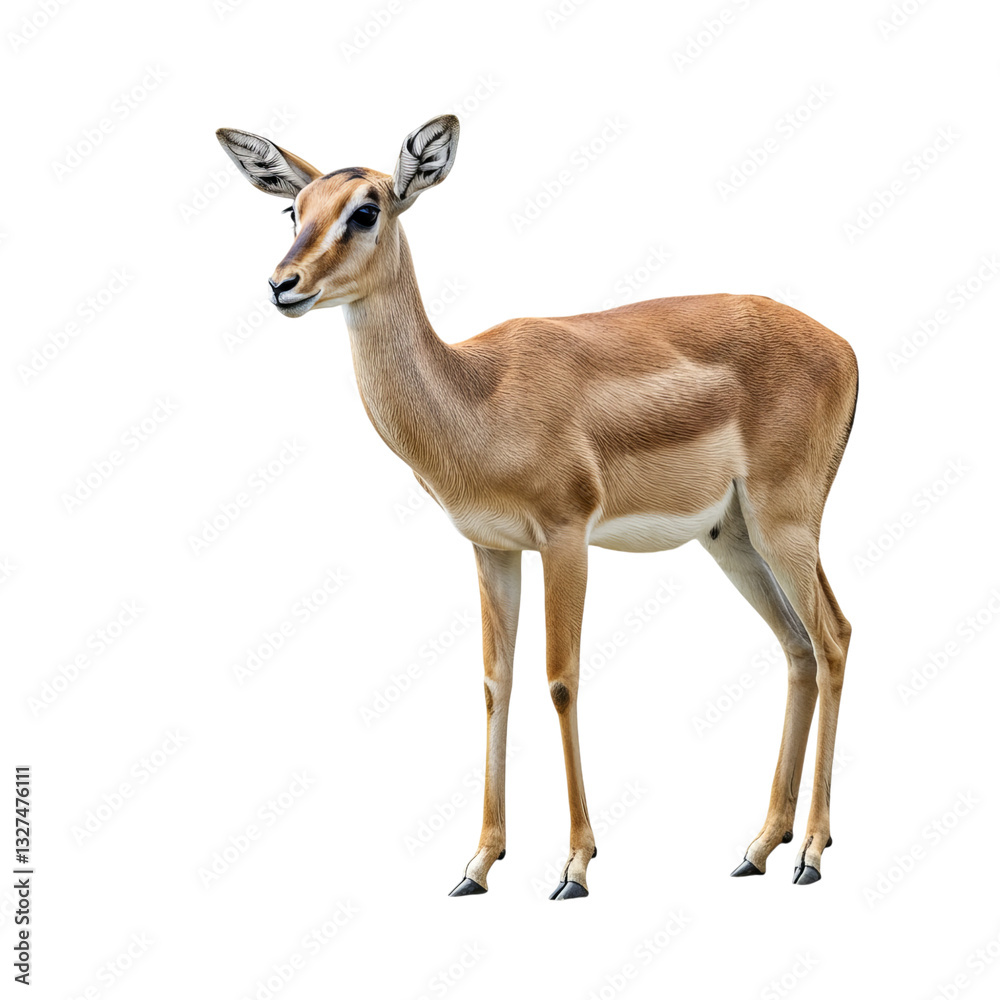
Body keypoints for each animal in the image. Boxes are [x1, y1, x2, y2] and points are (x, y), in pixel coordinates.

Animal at [217, 115, 858, 898]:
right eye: (293, 209)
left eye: (366, 209)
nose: (284, 285)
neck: (476, 393)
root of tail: (844, 347)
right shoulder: (492, 546)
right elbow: (497, 682)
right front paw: (477, 864)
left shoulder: (566, 536)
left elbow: (561, 679)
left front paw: (575, 865)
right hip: (732, 537)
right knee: (797, 648)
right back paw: (759, 847)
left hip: (784, 522)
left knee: (833, 638)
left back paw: (812, 854)